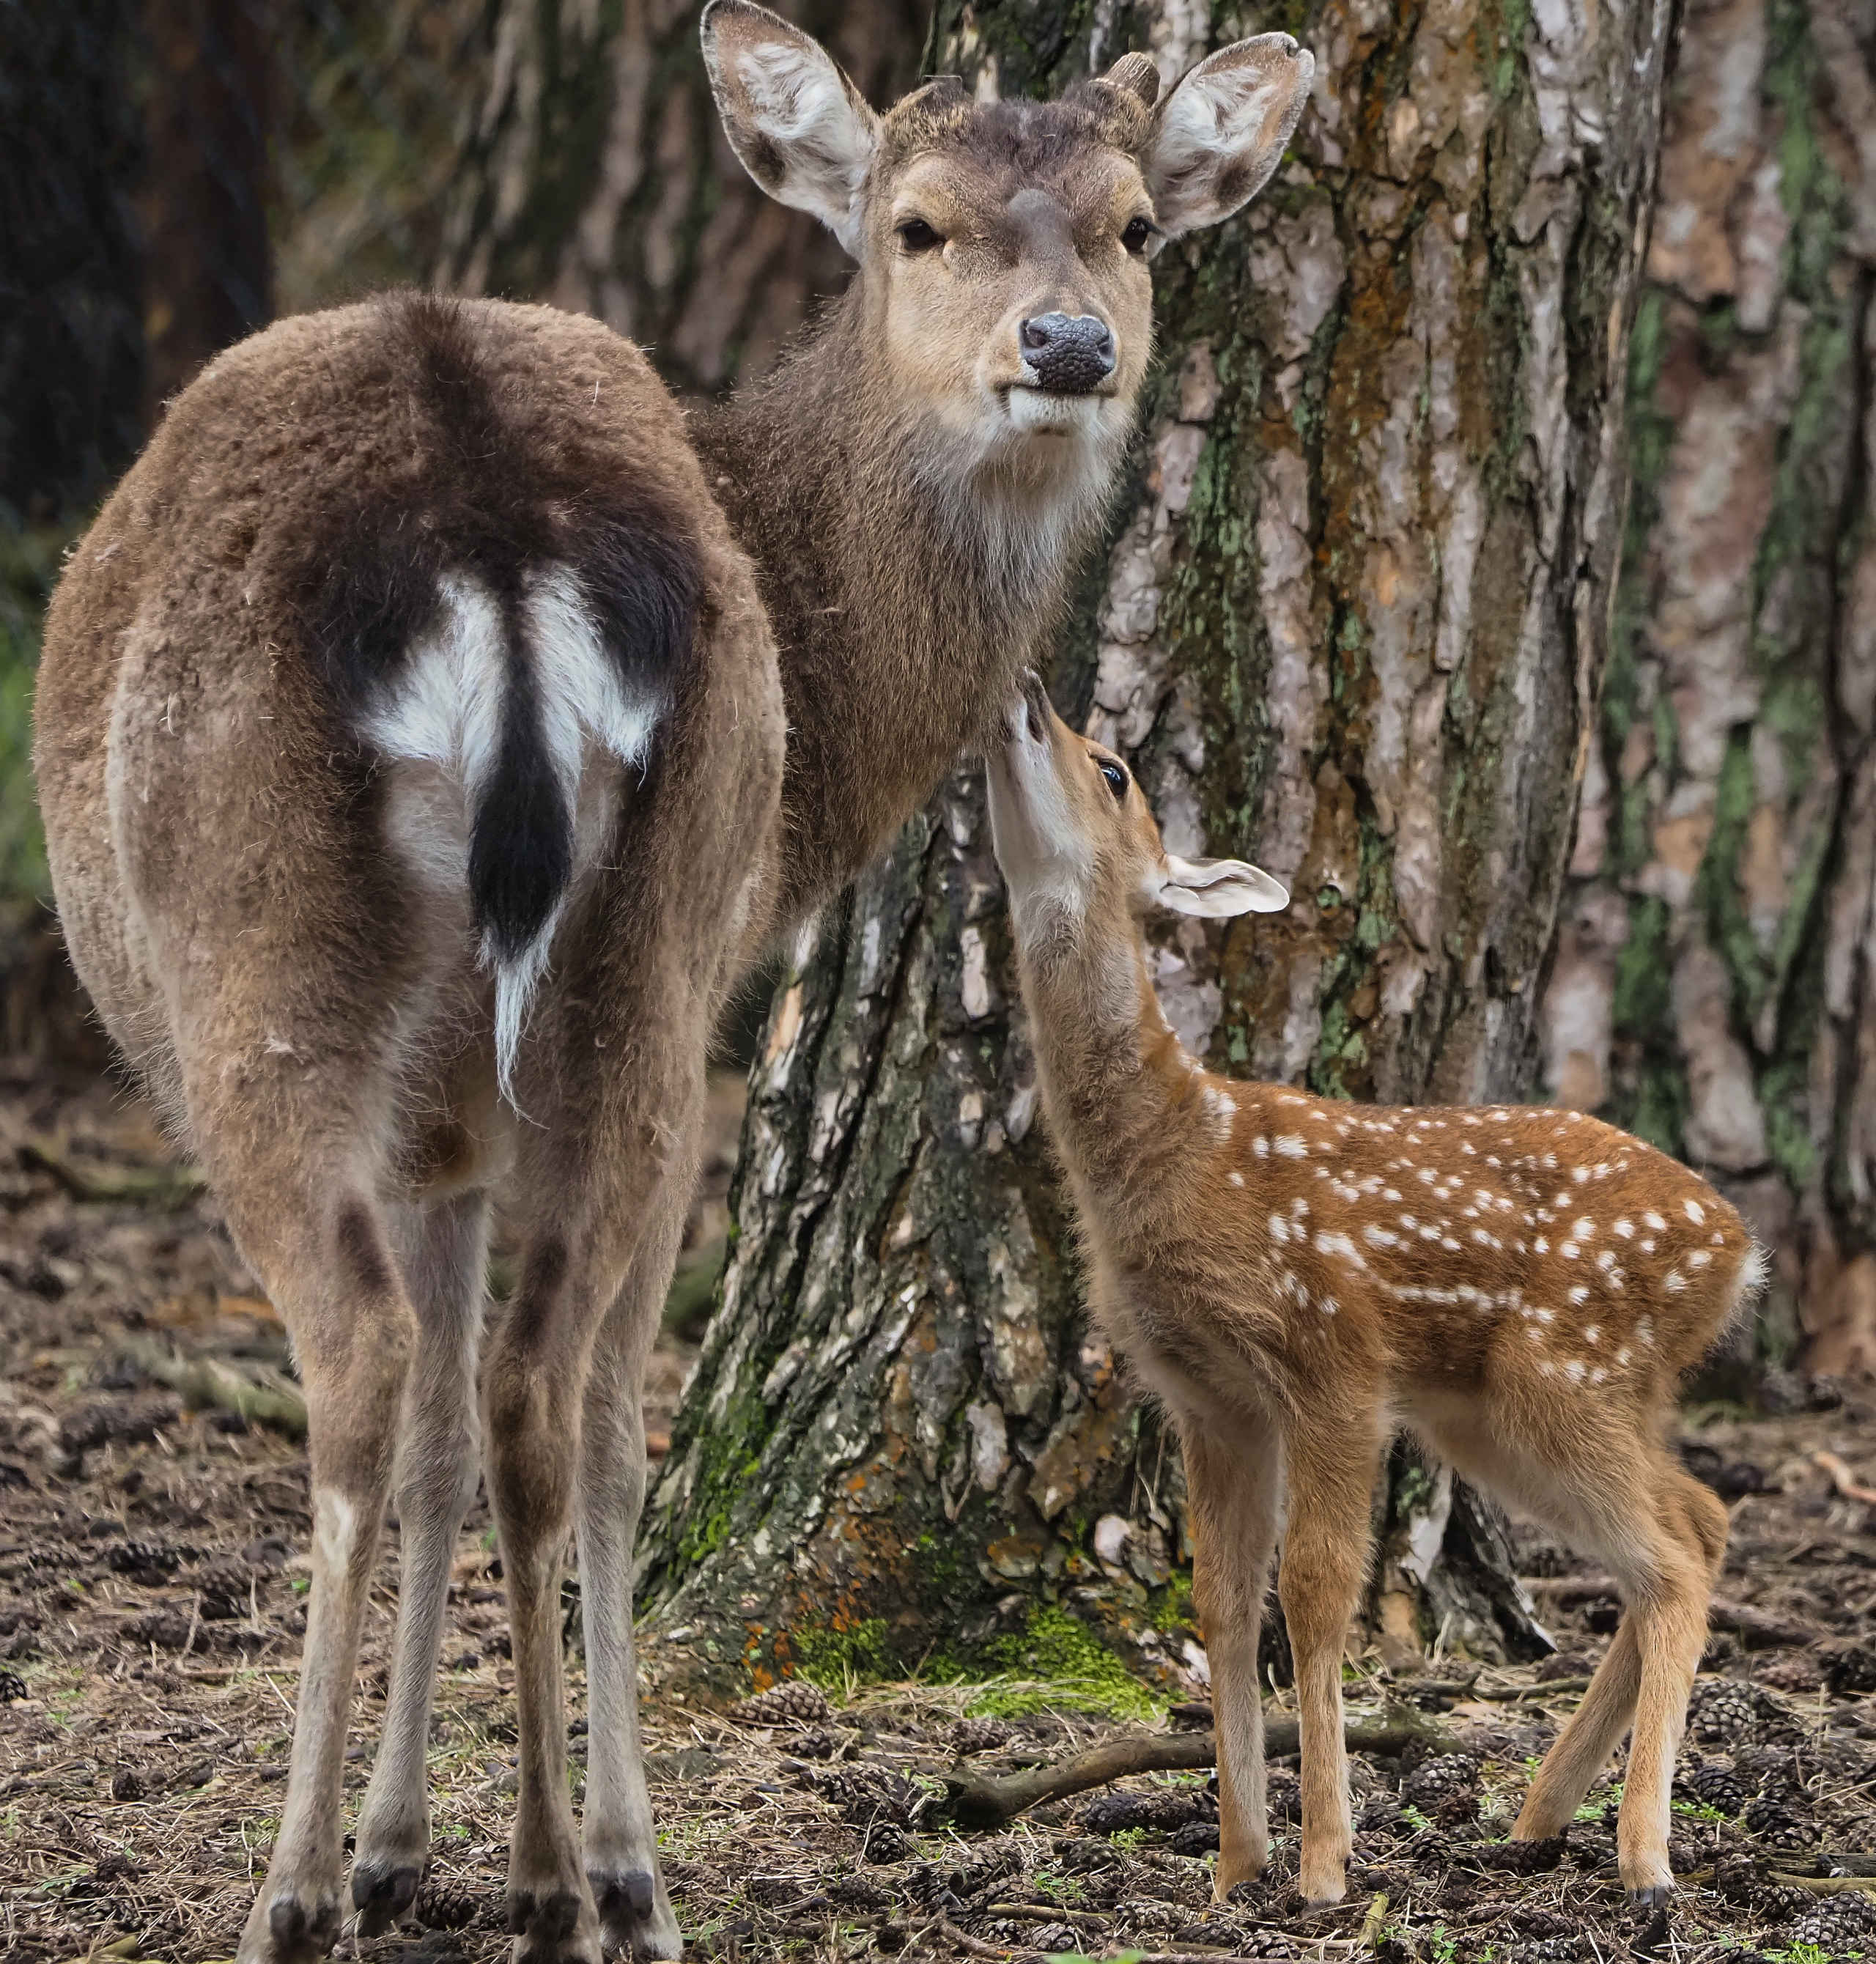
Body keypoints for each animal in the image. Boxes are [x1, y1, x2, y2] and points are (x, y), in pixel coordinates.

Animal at [30, 9, 1314, 1962]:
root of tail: (493, 548)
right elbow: (462, 1440)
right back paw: (550, 1871)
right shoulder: (471, 1112)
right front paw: (417, 1841)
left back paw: (381, 1883)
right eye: (918, 227)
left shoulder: (455, 1099)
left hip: (289, 969)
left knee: (419, 1383)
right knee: (522, 1395)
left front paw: (396, 1847)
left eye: (1130, 228)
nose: (1067, 347)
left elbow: (458, 1427)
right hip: (633, 967)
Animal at [984, 672, 1769, 1913]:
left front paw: (1323, 1865)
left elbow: (1312, 1590)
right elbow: (1221, 1601)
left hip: (1562, 1366)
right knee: (1695, 1520)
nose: (1021, 690)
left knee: (1675, 1553)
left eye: (1112, 767)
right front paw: (1233, 1867)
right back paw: (1540, 1820)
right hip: (1508, 1406)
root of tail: (1741, 1251)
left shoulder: (1333, 1353)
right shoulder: (1210, 1395)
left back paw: (1643, 1856)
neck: (1184, 1149)